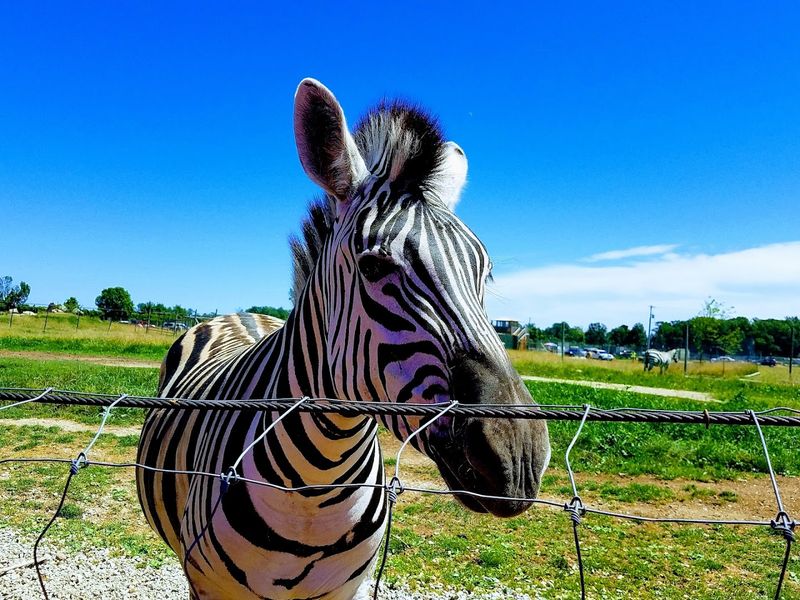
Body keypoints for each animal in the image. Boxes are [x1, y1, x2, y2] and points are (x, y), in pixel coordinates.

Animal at [136, 78, 551, 600]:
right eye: (372, 267)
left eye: (485, 273)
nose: (520, 455)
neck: (318, 487)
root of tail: (244, 315)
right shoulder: (209, 586)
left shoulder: (345, 589)